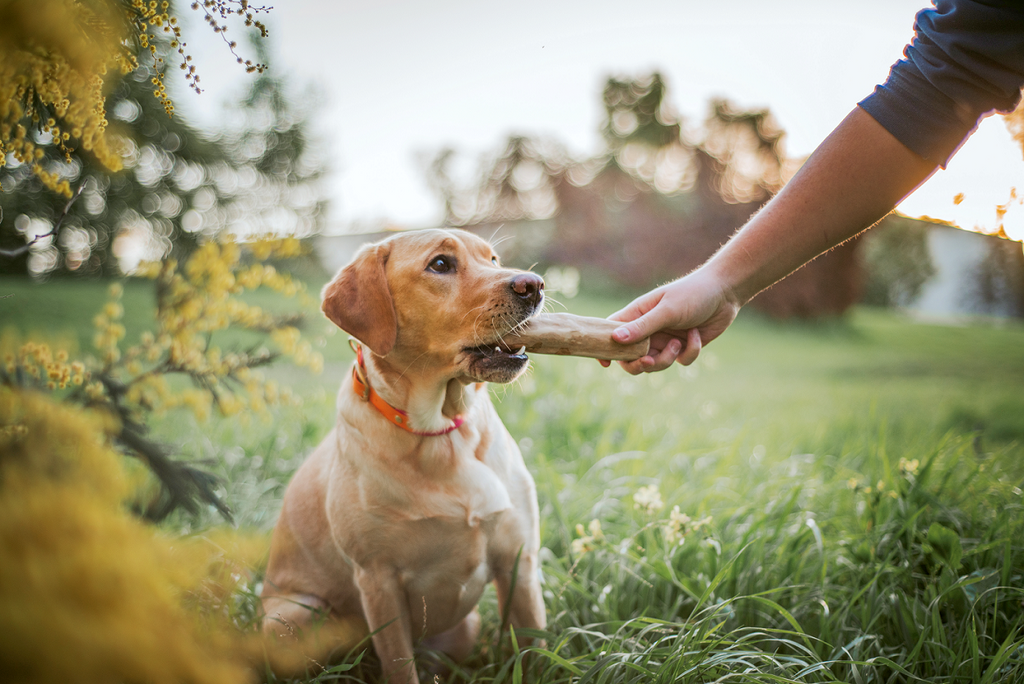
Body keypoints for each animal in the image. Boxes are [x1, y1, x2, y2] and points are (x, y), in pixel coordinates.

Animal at [264, 231, 548, 684]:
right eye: (440, 264)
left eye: (493, 259)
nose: (533, 285)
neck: (441, 431)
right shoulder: (379, 582)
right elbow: (399, 665)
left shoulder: (518, 562)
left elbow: (536, 649)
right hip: (292, 617)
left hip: (466, 627)